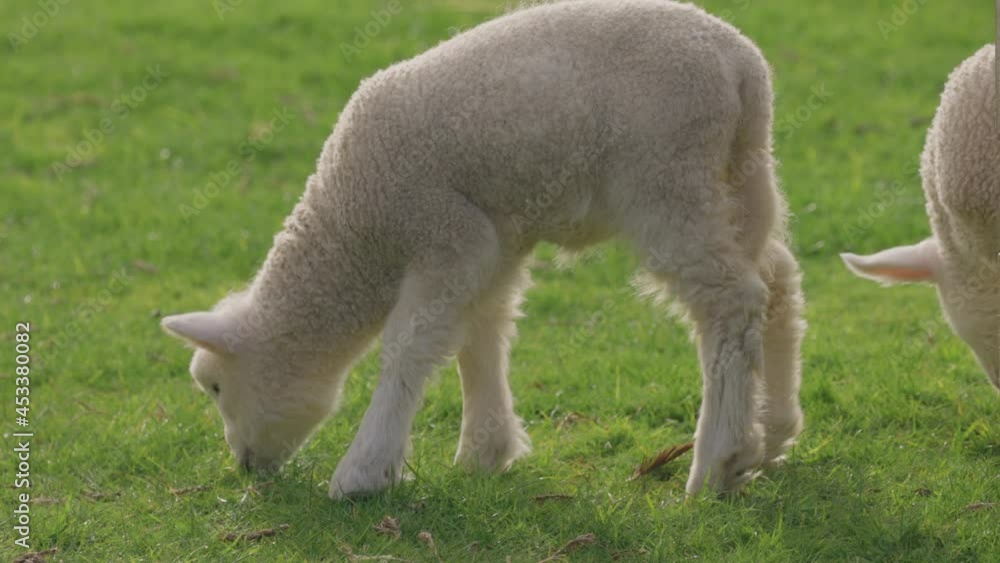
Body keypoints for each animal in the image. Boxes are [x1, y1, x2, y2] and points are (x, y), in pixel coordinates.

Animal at [161, 0, 806, 498]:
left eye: (214, 387)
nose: (244, 466)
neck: (356, 226)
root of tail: (739, 65)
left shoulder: (446, 234)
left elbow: (410, 346)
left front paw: (365, 471)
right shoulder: (496, 238)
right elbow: (483, 330)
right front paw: (484, 451)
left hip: (667, 178)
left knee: (730, 303)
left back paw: (718, 462)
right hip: (741, 170)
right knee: (777, 281)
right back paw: (771, 434)